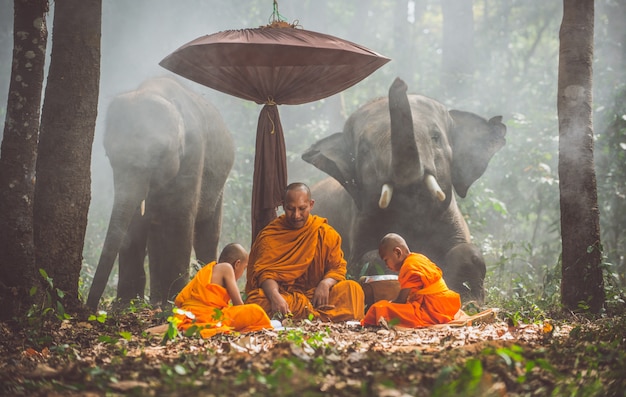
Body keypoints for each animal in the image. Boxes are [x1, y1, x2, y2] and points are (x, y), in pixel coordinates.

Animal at [85, 75, 234, 310]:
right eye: (109, 155)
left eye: (158, 155)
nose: (88, 309)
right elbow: (134, 223)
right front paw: (126, 305)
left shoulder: (194, 153)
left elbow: (180, 219)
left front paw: (176, 303)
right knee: (156, 236)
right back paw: (155, 301)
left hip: (219, 184)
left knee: (207, 232)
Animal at [300, 76, 504, 302]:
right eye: (364, 150)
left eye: (435, 137)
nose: (399, 82)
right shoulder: (358, 219)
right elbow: (365, 259)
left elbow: (468, 252)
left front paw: (471, 302)